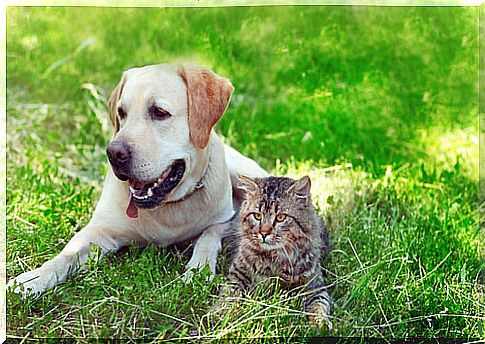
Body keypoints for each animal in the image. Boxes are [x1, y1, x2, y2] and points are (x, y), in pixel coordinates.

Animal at [6, 63, 268, 296]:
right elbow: (66, 255)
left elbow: (208, 237)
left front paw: (198, 270)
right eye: (121, 113)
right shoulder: (99, 232)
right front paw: (31, 280)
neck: (167, 208)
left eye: (159, 113)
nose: (114, 153)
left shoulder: (224, 219)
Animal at [220, 176, 330, 330]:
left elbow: (320, 305)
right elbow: (228, 296)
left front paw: (321, 324)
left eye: (280, 217)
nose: (264, 233)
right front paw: (221, 316)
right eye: (257, 216)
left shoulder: (315, 287)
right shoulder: (237, 274)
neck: (276, 257)